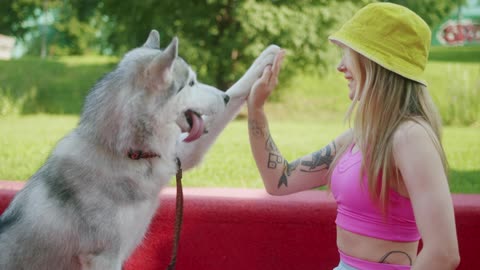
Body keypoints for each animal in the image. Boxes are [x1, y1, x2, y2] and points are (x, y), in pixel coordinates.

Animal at [0, 30, 282, 270]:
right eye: (191, 83)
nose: (223, 98)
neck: (128, 154)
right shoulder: (103, 257)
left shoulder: (180, 153)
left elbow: (238, 90)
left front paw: (267, 57)